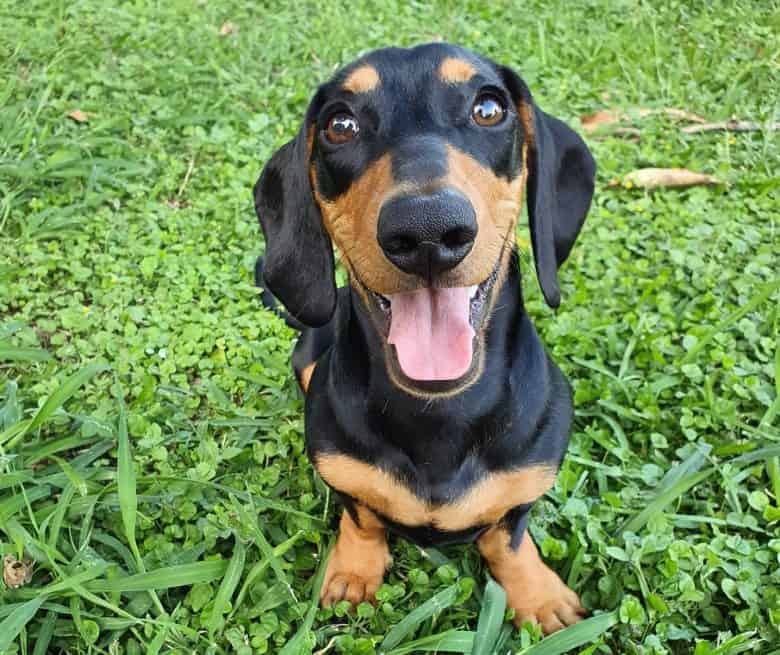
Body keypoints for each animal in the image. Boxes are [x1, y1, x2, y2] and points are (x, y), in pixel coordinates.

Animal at [253, 42, 596, 636]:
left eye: (489, 109)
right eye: (339, 124)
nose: (427, 231)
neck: (439, 414)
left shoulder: (524, 488)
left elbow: (507, 538)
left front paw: (537, 593)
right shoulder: (343, 474)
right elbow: (363, 516)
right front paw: (355, 571)